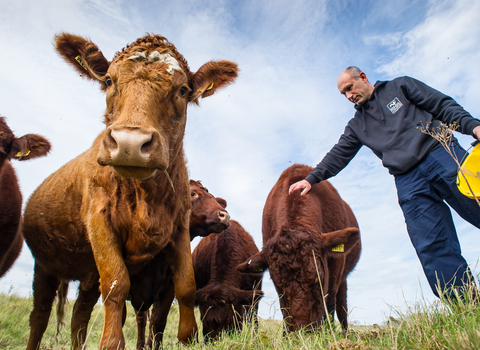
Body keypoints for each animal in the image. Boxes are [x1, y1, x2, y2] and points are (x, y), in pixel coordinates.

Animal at [236, 164, 360, 330]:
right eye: (278, 284)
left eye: (317, 279)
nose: (303, 330)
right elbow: (284, 309)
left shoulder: (336, 265)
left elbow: (330, 302)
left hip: (344, 275)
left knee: (341, 306)